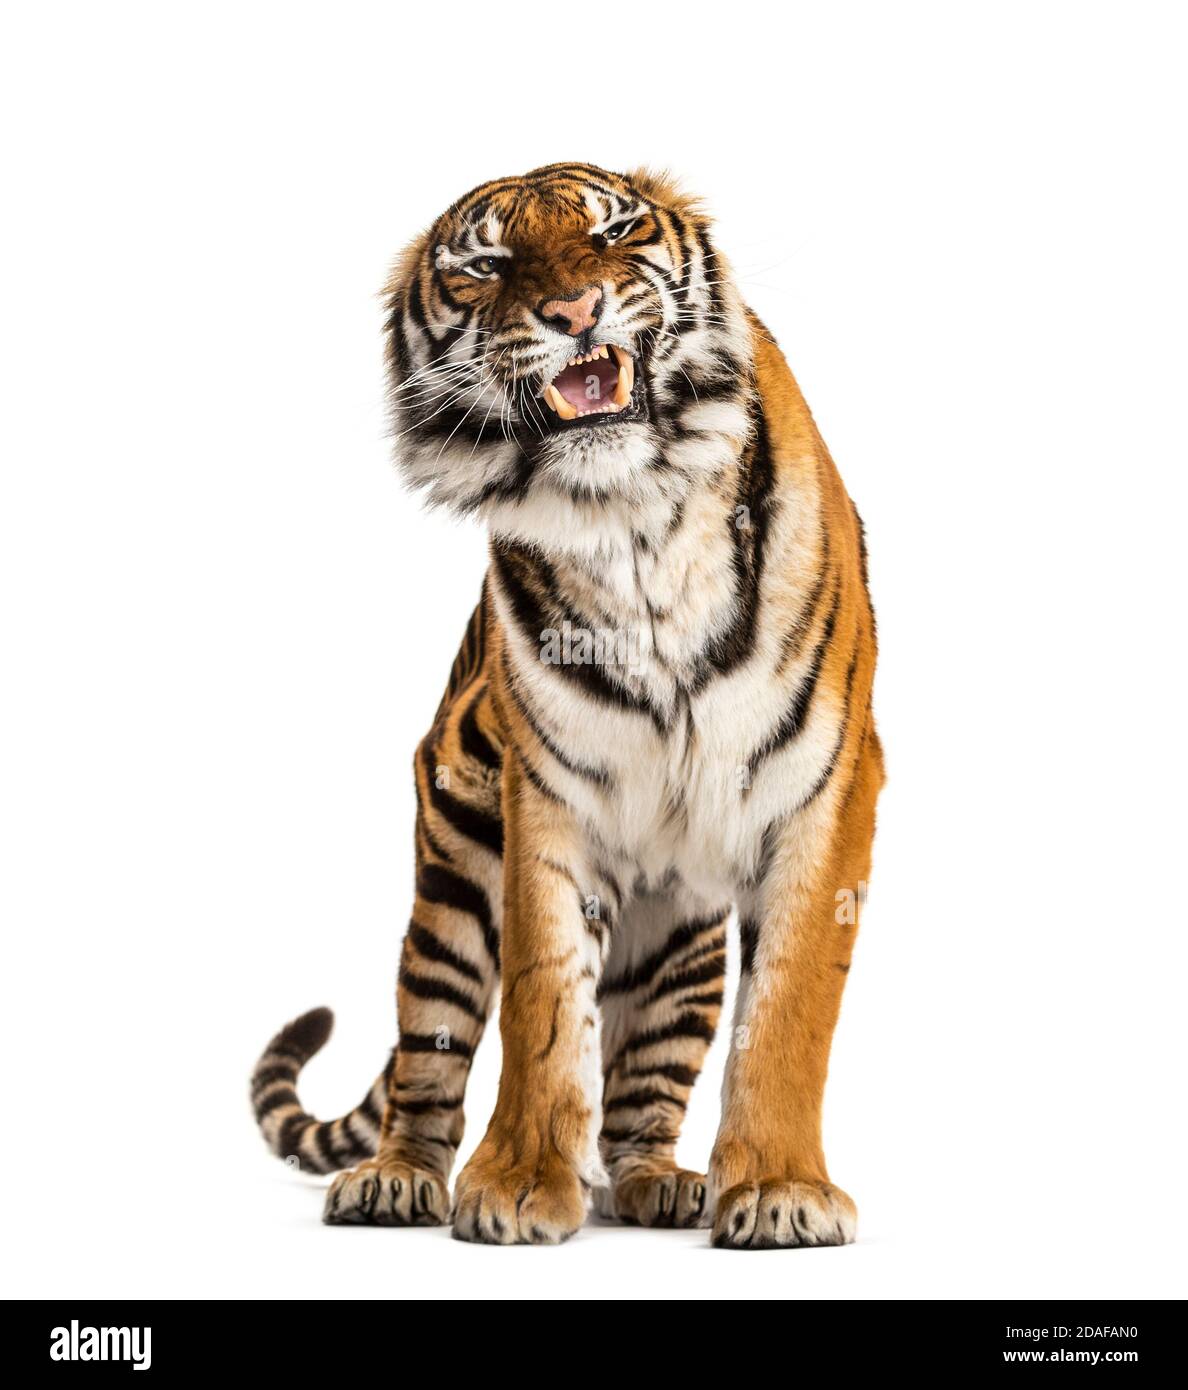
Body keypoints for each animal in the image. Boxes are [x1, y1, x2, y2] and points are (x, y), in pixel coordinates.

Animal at [250, 162, 883, 1249]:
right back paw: (397, 1179)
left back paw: (659, 1183)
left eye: (615, 231)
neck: (635, 522)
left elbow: (788, 1012)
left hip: (684, 952)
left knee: (645, 1097)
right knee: (427, 1054)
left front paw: (781, 1190)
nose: (575, 310)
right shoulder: (549, 796)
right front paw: (513, 1185)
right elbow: (543, 1003)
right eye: (487, 264)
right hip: (449, 883)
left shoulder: (830, 791)